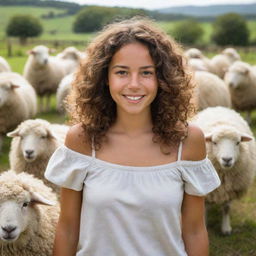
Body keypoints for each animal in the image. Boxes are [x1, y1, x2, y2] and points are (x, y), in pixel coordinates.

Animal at [192, 105, 256, 234]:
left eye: (238, 142)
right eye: (214, 142)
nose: (227, 159)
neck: (224, 176)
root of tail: (217, 107)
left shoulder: (231, 189)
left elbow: (226, 208)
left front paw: (226, 228)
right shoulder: (207, 192)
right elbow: (205, 208)